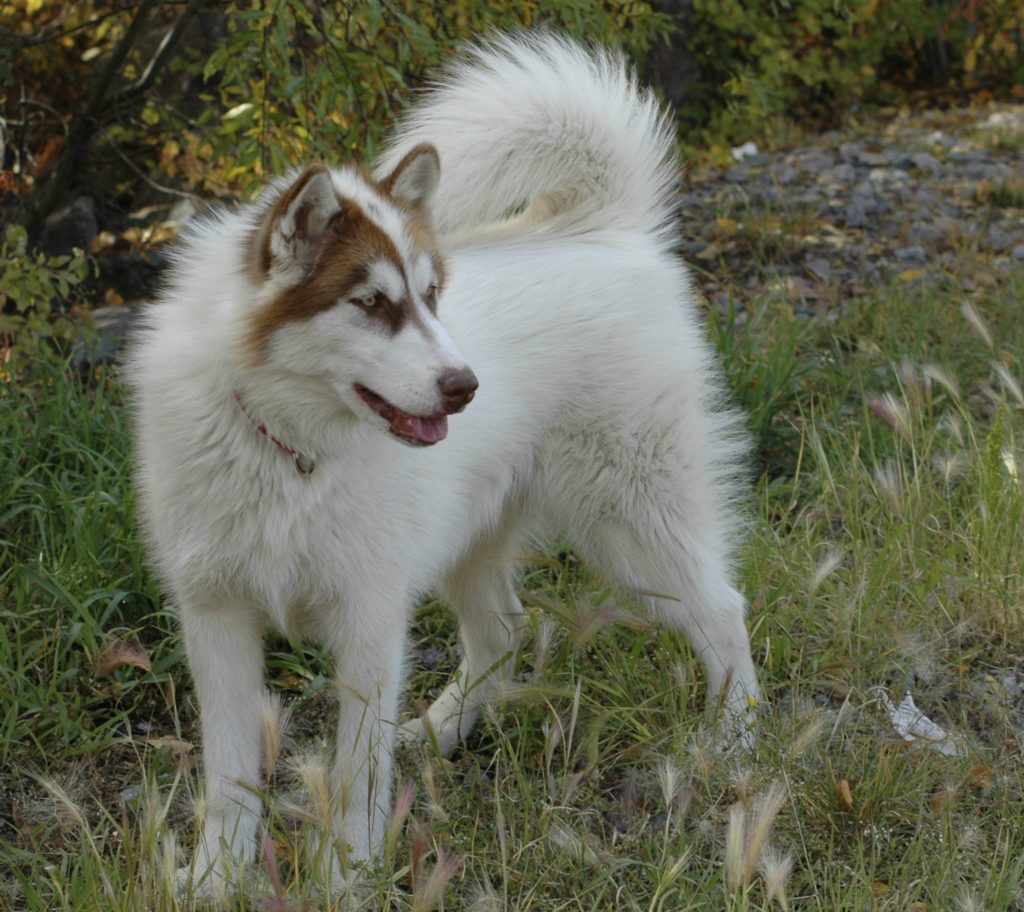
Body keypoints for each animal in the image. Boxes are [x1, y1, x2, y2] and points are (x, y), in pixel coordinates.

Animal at [128, 32, 757, 896]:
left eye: (431, 295)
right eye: (371, 304)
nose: (465, 387)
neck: (287, 447)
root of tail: (604, 227)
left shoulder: (367, 619)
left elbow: (356, 775)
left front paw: (347, 877)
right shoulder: (216, 617)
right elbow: (228, 779)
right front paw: (216, 879)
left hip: (634, 527)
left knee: (722, 612)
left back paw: (735, 748)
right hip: (477, 542)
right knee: (502, 635)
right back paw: (434, 731)